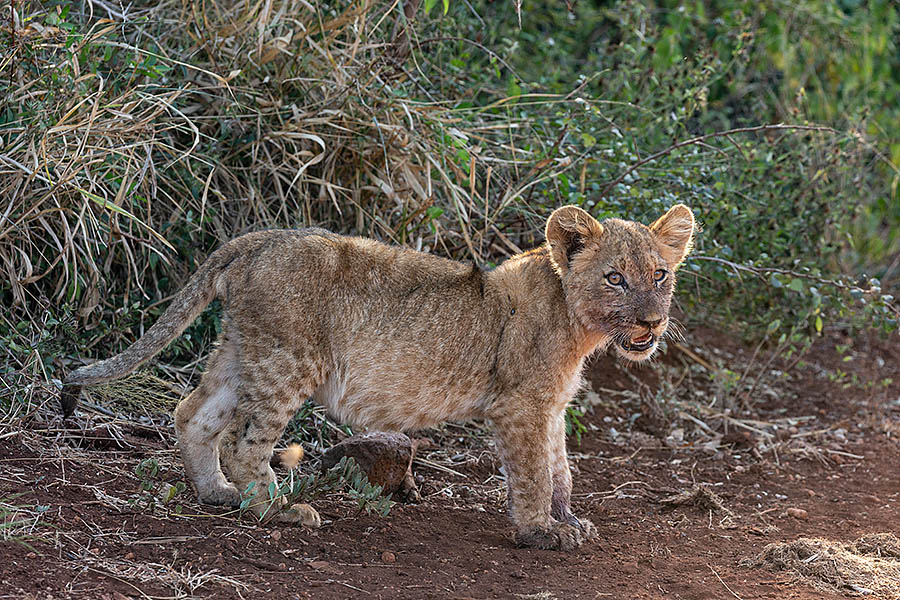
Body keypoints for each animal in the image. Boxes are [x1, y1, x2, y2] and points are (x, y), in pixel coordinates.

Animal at [61, 204, 694, 551]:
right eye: (615, 278)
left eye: (660, 275)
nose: (651, 321)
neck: (576, 322)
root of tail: (259, 238)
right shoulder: (520, 406)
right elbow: (536, 474)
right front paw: (541, 532)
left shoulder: (553, 407)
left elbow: (562, 472)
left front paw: (569, 521)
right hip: (290, 359)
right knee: (245, 443)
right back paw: (276, 510)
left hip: (244, 348)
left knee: (193, 414)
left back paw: (216, 494)